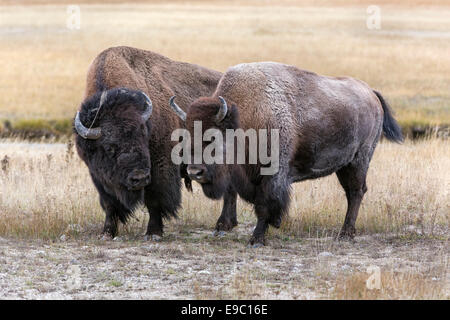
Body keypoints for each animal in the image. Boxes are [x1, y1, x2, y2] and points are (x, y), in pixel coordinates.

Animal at [72, 47, 239, 240]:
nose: (139, 178)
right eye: (109, 147)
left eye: (144, 137)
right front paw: (107, 232)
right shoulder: (99, 176)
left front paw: (153, 232)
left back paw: (221, 225)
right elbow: (109, 203)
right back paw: (227, 224)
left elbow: (154, 199)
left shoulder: (160, 167)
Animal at [171, 62, 402, 248]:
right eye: (186, 135)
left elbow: (264, 205)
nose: (194, 172)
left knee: (356, 192)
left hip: (358, 161)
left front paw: (257, 239)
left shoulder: (272, 175)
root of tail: (371, 93)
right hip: (345, 166)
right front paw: (223, 227)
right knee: (353, 192)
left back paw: (345, 234)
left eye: (212, 138)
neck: (244, 118)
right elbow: (231, 194)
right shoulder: (237, 174)